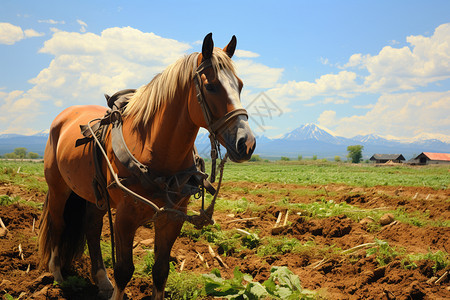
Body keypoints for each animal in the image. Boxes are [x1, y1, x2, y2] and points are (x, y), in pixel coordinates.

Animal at [37, 34, 256, 298]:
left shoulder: (173, 218)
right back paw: (58, 274)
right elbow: (123, 271)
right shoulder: (124, 217)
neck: (153, 149)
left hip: (95, 195)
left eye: (240, 85)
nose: (247, 143)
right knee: (58, 223)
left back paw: (102, 280)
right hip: (59, 188)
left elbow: (160, 271)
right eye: (211, 86)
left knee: (92, 226)